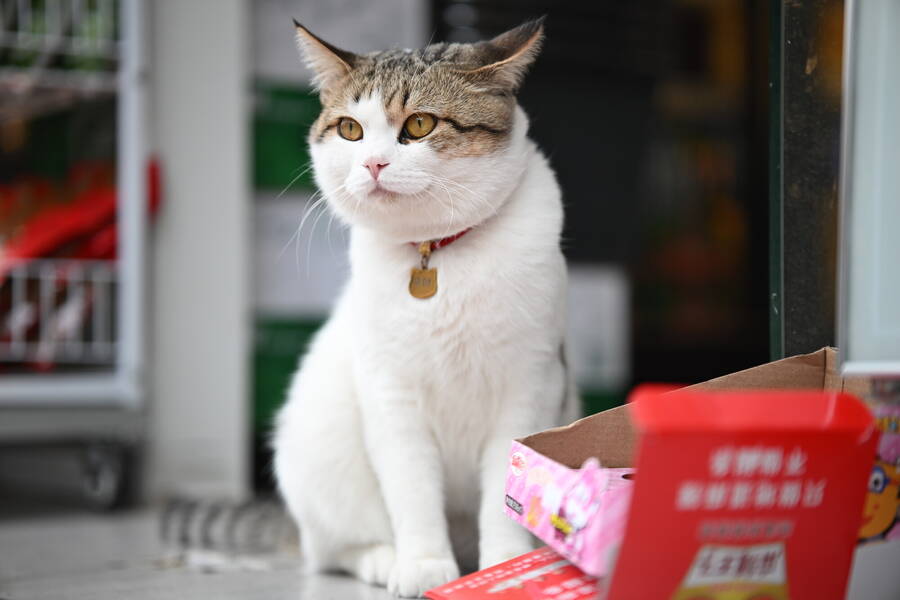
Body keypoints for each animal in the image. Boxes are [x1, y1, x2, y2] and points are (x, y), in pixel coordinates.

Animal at [273, 17, 578, 598]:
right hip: (321, 449)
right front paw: (423, 565)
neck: (435, 252)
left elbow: (506, 489)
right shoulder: (390, 392)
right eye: (350, 130)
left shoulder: (528, 385)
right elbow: (411, 489)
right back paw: (383, 559)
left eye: (419, 124)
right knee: (332, 549)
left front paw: (507, 566)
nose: (373, 163)